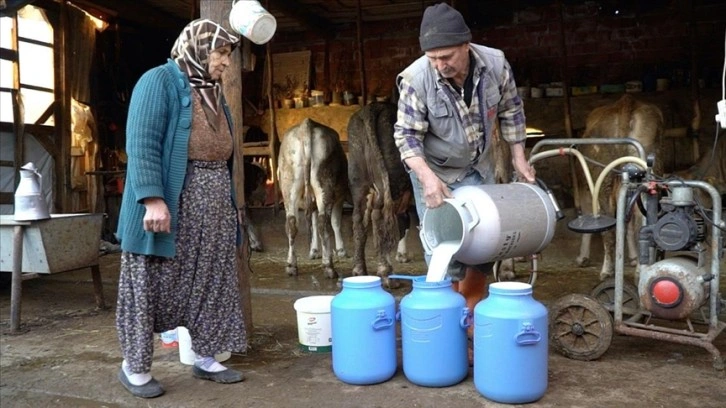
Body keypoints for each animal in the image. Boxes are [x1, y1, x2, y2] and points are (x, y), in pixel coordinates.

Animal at [278, 116, 348, 278]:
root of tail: (306, 124)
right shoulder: (340, 197)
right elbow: (336, 222)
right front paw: (341, 250)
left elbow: (314, 224)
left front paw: (314, 251)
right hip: (325, 185)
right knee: (324, 223)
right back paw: (328, 266)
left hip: (289, 185)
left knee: (291, 223)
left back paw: (291, 265)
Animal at [348, 101, 412, 286]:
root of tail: (373, 107)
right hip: (393, 181)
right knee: (381, 216)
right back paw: (386, 274)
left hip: (358, 181)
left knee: (359, 217)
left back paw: (359, 270)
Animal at [576, 95, 668, 280]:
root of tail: (626, 102)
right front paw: (633, 258)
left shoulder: (585, 187)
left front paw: (583, 257)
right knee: (640, 219)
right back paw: (639, 268)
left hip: (603, 179)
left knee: (608, 225)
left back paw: (607, 270)